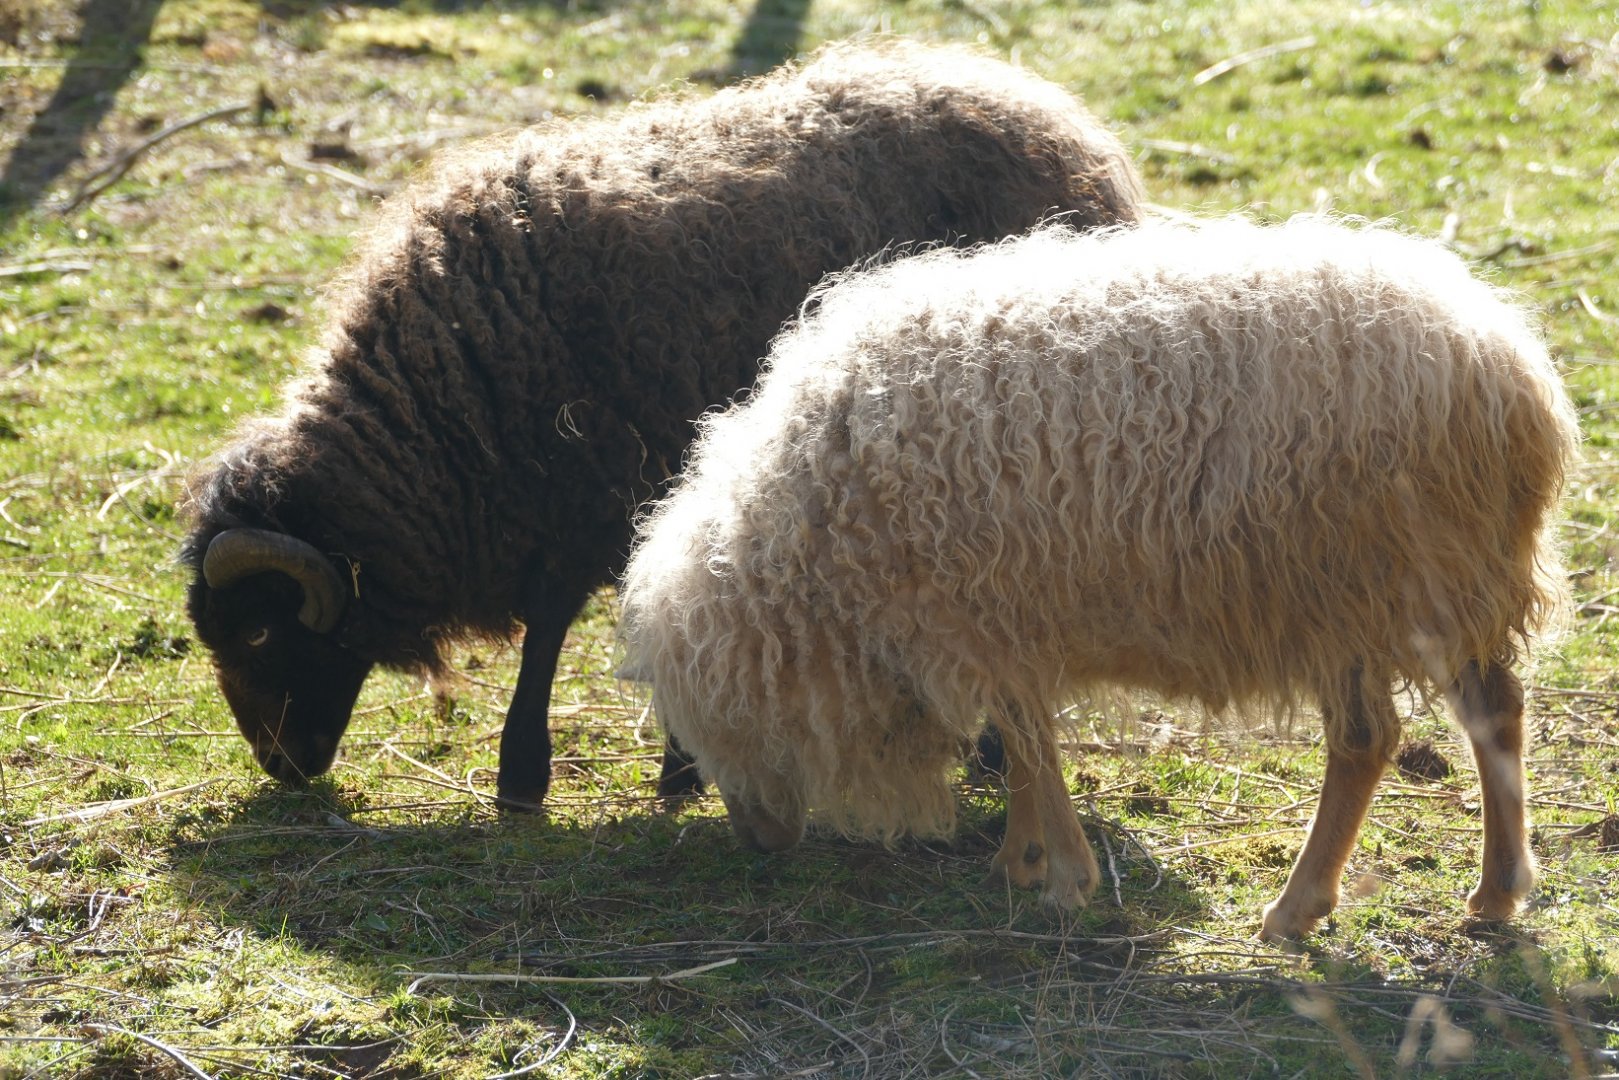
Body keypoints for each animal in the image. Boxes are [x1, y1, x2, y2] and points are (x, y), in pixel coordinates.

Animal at [180, 39, 1146, 809]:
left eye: (260, 631)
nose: (280, 767)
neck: (449, 402)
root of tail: (1075, 136)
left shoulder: (592, 493)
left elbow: (555, 630)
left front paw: (533, 775)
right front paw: (676, 770)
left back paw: (996, 756)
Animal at [617, 215, 1578, 940]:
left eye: (707, 727)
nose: (755, 842)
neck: (818, 531)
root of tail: (1510, 368)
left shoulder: (975, 613)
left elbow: (1031, 744)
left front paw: (1063, 879)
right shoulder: (1001, 619)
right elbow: (1020, 740)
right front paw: (1020, 858)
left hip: (1367, 584)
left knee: (1367, 740)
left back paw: (1296, 907)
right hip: (1433, 583)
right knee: (1492, 714)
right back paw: (1494, 892)